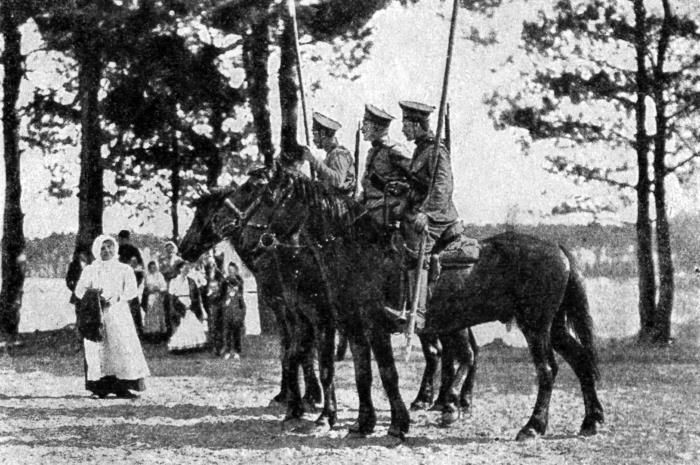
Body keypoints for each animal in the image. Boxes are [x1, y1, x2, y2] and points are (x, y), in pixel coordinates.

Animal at [217, 165, 600, 440]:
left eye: (257, 191)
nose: (227, 223)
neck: (357, 249)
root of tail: (558, 248)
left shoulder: (372, 327)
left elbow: (387, 374)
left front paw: (397, 425)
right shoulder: (353, 329)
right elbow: (362, 374)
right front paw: (363, 423)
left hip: (535, 326)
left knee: (546, 370)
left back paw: (531, 426)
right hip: (552, 326)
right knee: (580, 360)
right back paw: (591, 420)